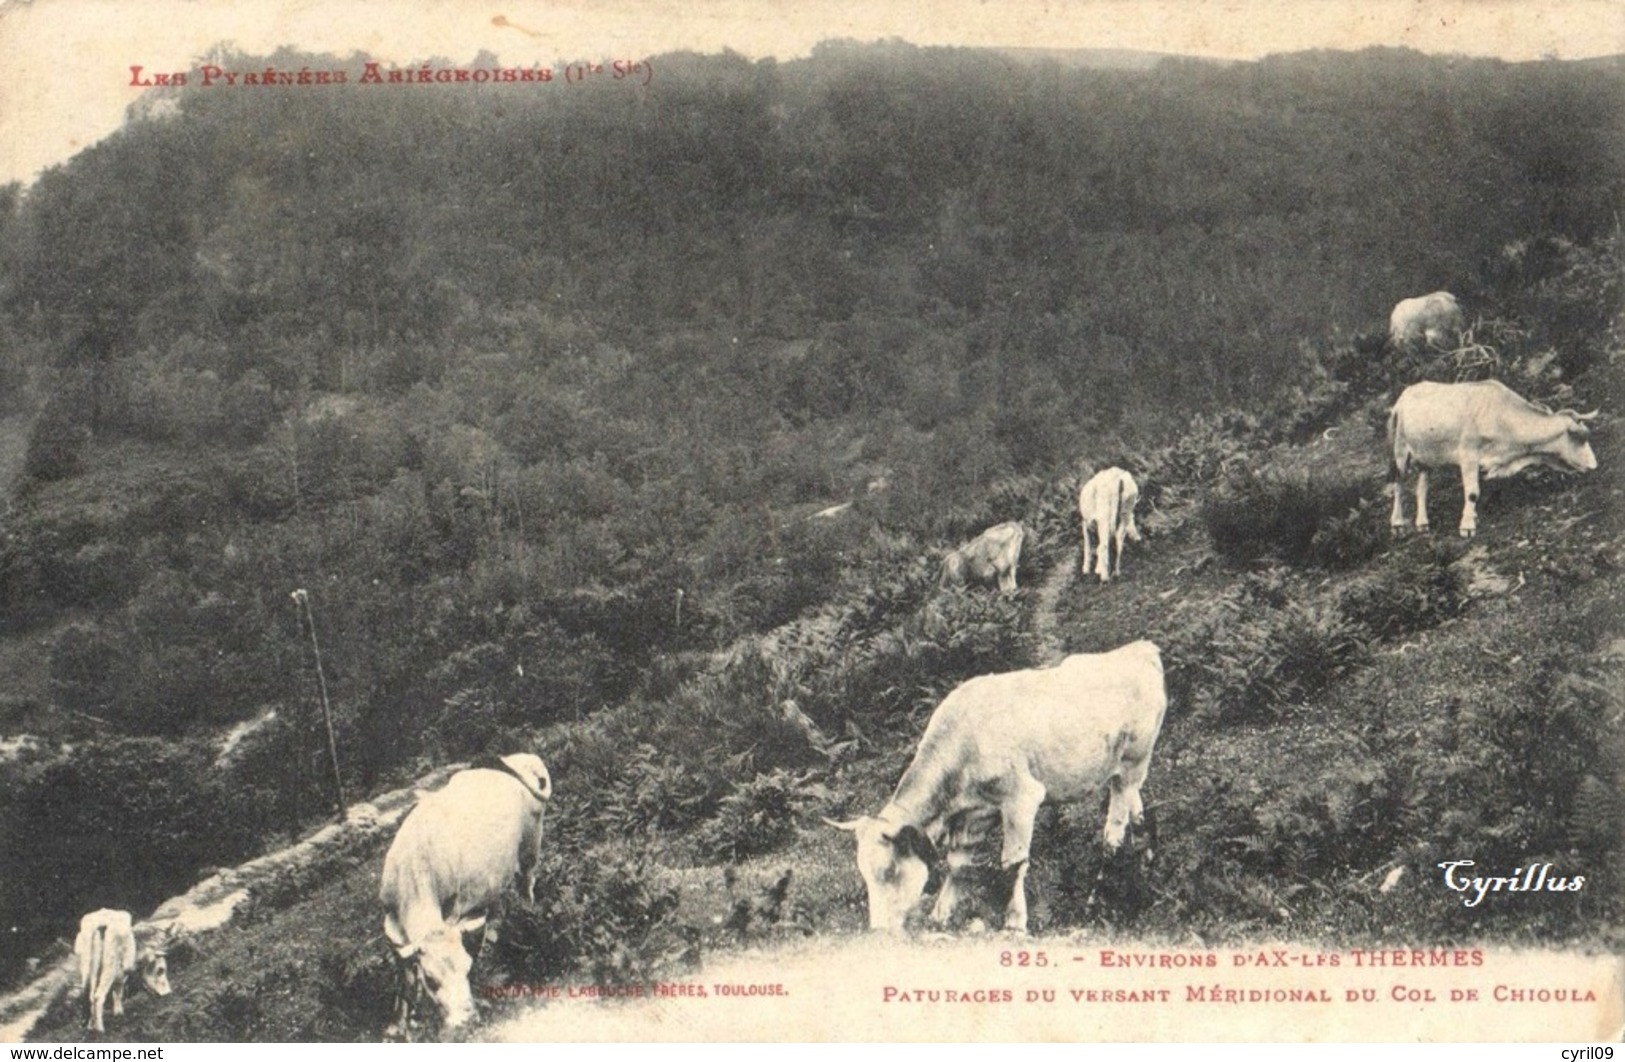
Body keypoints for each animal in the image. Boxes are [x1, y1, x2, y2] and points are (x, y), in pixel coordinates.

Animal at [74, 909, 171, 1039]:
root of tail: (101, 923)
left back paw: (91, 1026)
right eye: (161, 970)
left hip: (87, 967)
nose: (167, 993)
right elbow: (119, 991)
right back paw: (100, 1030)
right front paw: (119, 1013)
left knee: (88, 995)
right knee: (98, 996)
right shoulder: (122, 971)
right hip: (109, 967)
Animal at [378, 753, 552, 1039]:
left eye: (468, 969)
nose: (468, 1020)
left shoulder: (454, 910)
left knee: (527, 881)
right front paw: (396, 1023)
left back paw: (528, 914)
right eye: (431, 980)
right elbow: (403, 974)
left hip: (531, 843)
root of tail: (519, 759)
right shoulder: (391, 929)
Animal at [825, 639, 1170, 935]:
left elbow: (1013, 865)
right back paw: (1147, 865)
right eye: (864, 873)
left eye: (889, 871)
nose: (878, 932)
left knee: (1114, 833)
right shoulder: (973, 815)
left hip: (1133, 762)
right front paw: (940, 915)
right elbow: (958, 865)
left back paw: (1096, 898)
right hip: (1124, 773)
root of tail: (1140, 649)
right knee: (1140, 813)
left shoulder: (1021, 800)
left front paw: (1014, 924)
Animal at [1384, 379, 1599, 542]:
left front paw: (1473, 517)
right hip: (1400, 449)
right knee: (1399, 485)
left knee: (1421, 488)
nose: (1594, 466)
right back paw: (1397, 524)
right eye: (1580, 437)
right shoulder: (1468, 455)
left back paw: (1422, 523)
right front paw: (1467, 527)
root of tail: (1405, 394)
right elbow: (1472, 493)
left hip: (1426, 457)